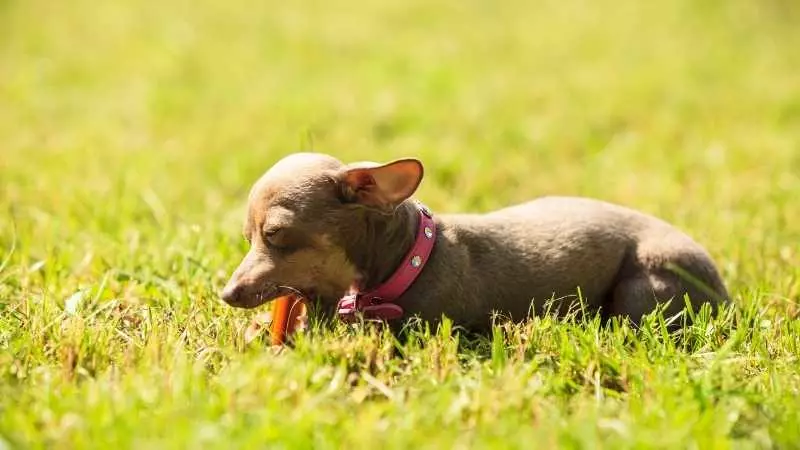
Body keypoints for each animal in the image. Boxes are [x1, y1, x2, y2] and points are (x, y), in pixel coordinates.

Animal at [222, 153, 728, 332]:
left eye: (276, 236)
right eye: (247, 238)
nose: (227, 293)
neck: (410, 261)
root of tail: (725, 292)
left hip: (645, 285)